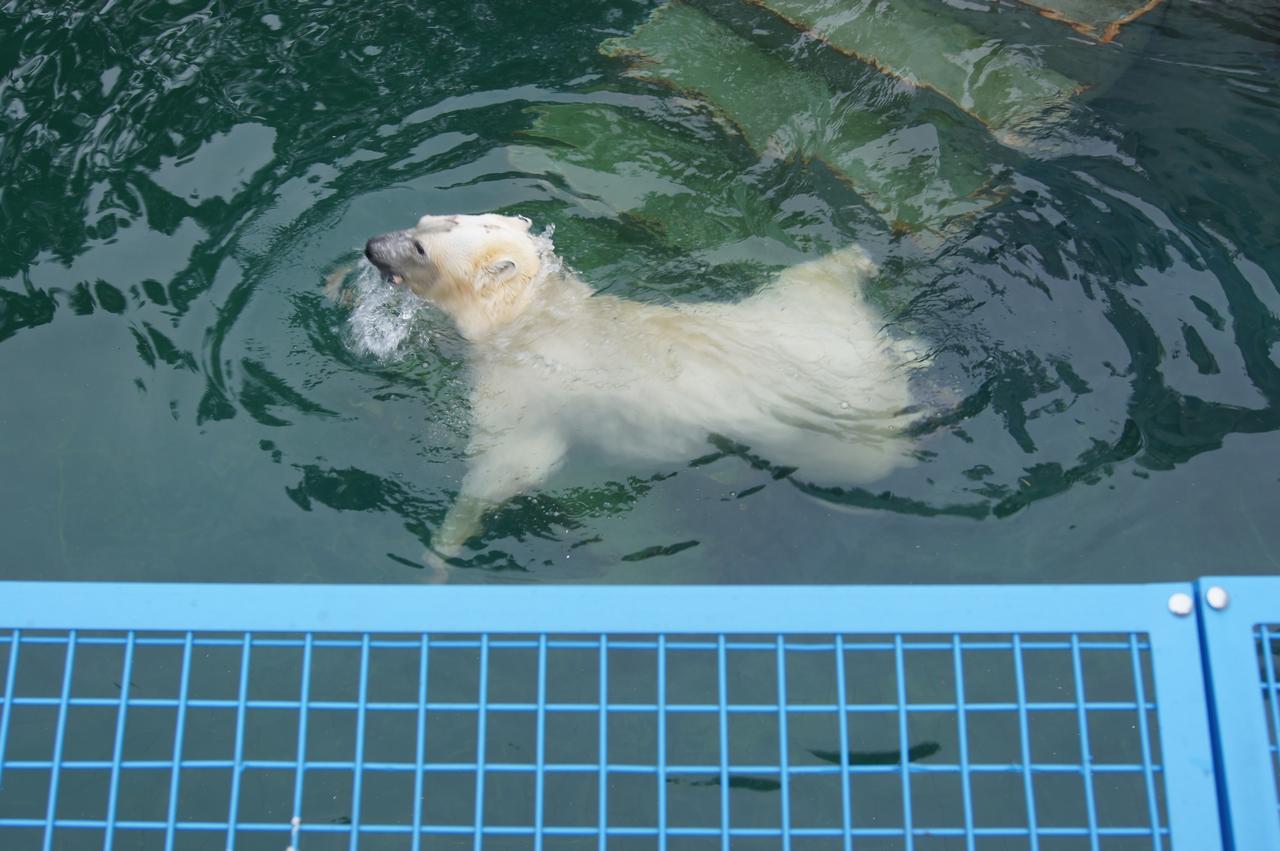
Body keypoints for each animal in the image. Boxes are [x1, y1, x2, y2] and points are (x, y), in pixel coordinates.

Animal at [363, 213, 927, 562]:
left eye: (420, 247)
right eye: (422, 222)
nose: (371, 247)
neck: (534, 317)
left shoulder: (524, 389)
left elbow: (512, 464)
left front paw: (440, 548)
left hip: (836, 432)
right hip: (793, 307)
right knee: (813, 277)